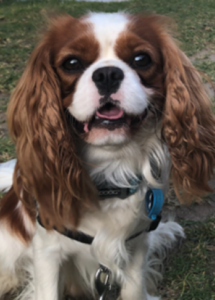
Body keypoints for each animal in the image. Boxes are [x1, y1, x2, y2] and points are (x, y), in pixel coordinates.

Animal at [0, 11, 215, 300]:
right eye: (71, 63)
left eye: (141, 59)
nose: (107, 74)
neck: (110, 169)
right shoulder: (47, 251)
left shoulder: (136, 246)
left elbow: (134, 290)